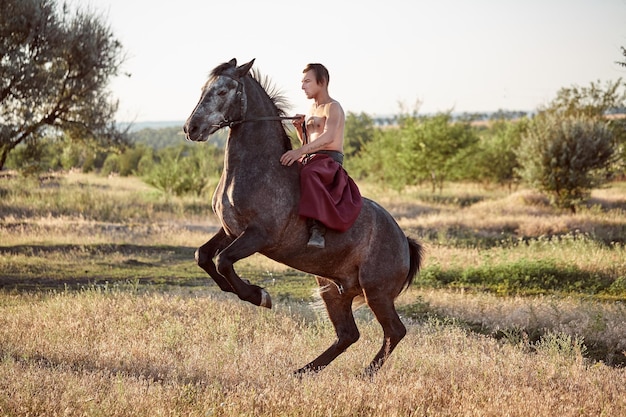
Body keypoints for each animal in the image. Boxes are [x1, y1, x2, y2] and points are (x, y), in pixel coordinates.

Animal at [183, 57, 422, 374]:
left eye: (222, 91)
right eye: (204, 89)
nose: (191, 128)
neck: (257, 169)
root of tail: (404, 240)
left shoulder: (258, 235)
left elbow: (222, 261)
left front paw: (259, 296)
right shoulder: (231, 231)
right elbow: (203, 256)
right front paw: (237, 290)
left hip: (377, 292)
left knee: (394, 331)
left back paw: (366, 374)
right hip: (333, 290)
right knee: (348, 334)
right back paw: (303, 371)